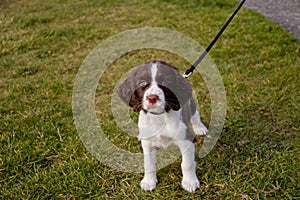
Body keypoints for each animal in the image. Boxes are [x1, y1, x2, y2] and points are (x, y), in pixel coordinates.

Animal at [117, 59, 209, 192]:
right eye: (142, 82)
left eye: (166, 82)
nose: (152, 98)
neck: (159, 117)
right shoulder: (147, 143)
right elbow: (148, 163)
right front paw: (149, 181)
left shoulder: (186, 140)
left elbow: (187, 164)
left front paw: (190, 182)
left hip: (190, 103)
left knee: (195, 114)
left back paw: (200, 128)